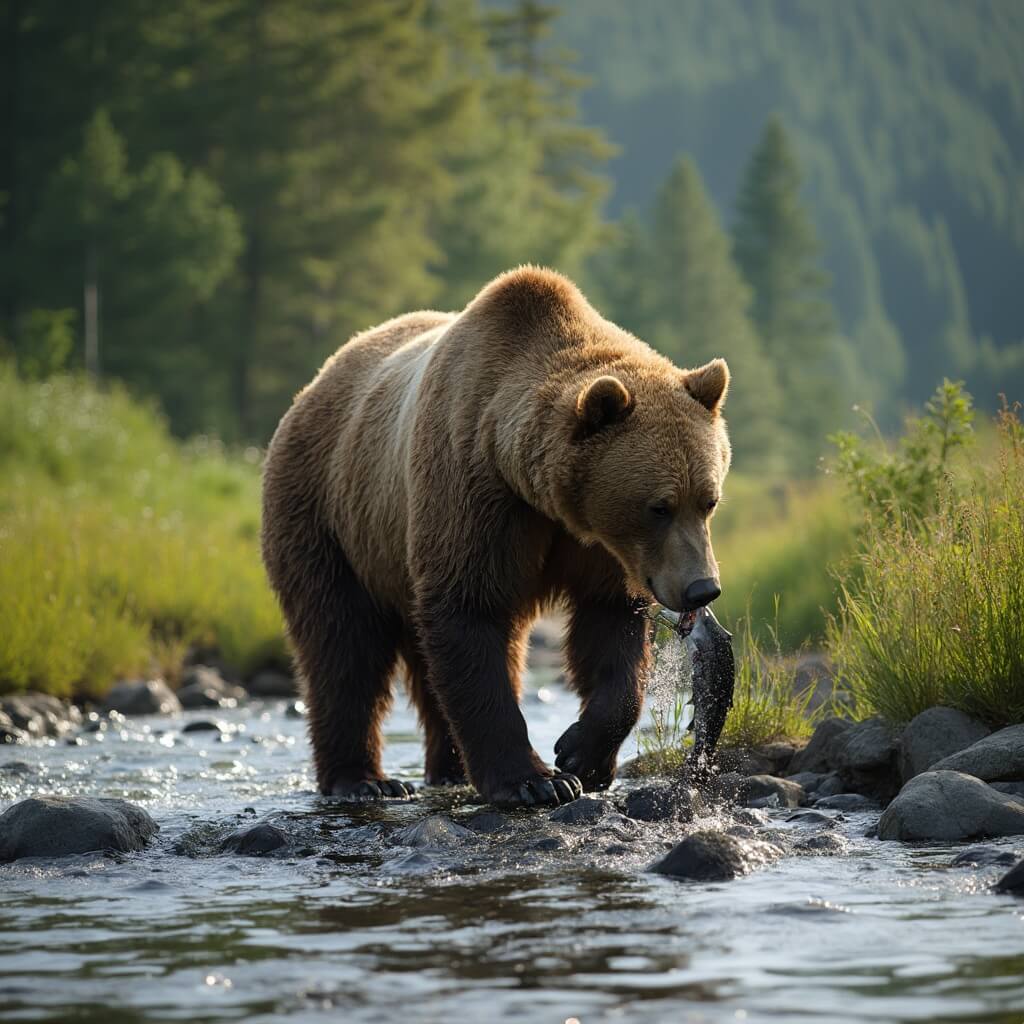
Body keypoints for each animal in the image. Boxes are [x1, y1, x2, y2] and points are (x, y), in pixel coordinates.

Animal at [261, 266, 730, 807]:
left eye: (709, 499)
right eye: (658, 507)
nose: (702, 588)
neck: (545, 497)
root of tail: (316, 382)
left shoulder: (603, 550)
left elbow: (610, 628)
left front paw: (582, 756)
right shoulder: (474, 494)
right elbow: (469, 614)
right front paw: (536, 781)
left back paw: (449, 770)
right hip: (331, 516)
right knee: (343, 645)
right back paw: (364, 780)